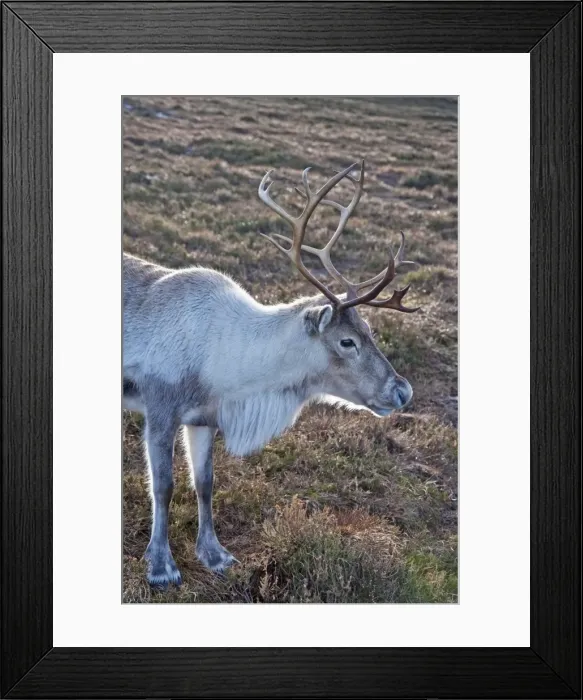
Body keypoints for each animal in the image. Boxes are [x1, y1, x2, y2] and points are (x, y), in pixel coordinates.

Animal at [123, 160, 419, 588]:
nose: (402, 391)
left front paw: (215, 554)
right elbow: (163, 486)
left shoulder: (204, 418)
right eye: (347, 341)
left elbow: (205, 484)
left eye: (370, 329)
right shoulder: (160, 409)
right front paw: (161, 565)